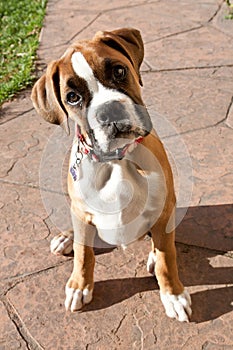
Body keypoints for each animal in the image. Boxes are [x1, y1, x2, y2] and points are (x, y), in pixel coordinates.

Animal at [31, 28, 191, 322]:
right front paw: (79, 285)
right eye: (72, 97)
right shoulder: (83, 212)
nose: (109, 111)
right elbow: (84, 253)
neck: (117, 160)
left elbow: (167, 258)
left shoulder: (164, 208)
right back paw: (67, 237)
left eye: (118, 71)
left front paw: (173, 294)